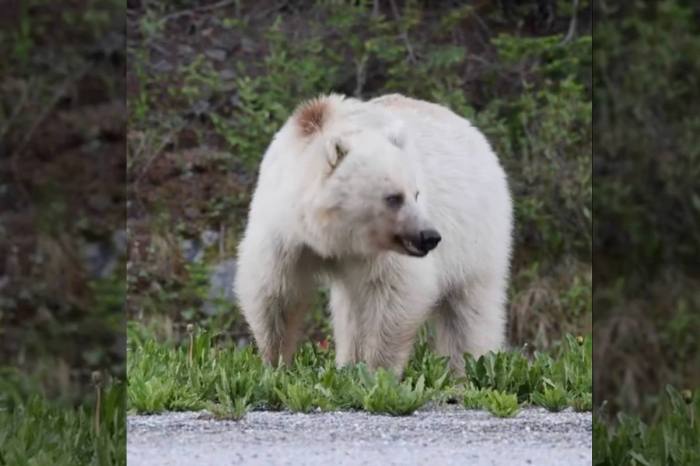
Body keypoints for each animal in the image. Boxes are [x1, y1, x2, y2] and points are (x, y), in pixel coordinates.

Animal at [234, 93, 513, 375]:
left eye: (416, 193)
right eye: (394, 197)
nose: (429, 236)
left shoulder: (381, 252)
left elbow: (396, 293)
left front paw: (377, 371)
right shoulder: (284, 234)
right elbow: (275, 293)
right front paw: (276, 362)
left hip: (475, 234)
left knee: (469, 310)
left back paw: (466, 368)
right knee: (349, 311)